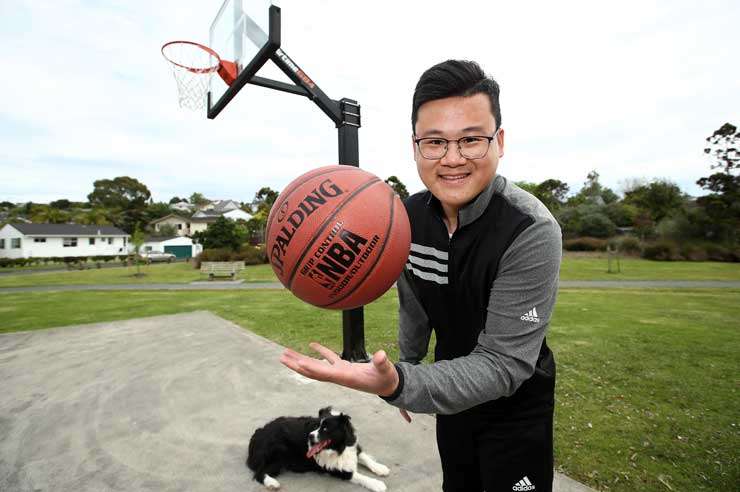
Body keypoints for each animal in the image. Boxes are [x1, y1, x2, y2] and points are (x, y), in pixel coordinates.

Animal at [247, 406, 390, 490]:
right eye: (316, 426)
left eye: (325, 429)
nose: (310, 436)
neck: (338, 448)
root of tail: (257, 435)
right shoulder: (336, 469)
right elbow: (359, 476)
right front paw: (377, 484)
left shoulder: (352, 445)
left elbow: (364, 456)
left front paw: (380, 468)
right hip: (280, 452)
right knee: (258, 473)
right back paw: (272, 483)